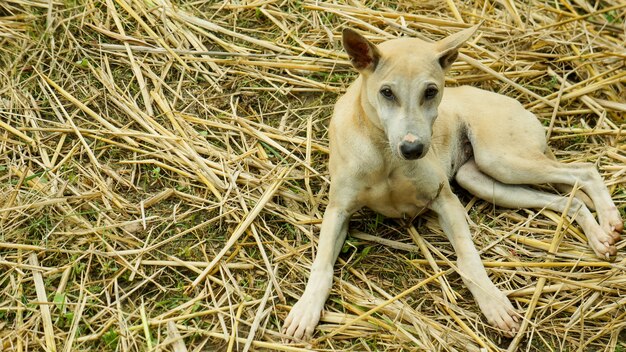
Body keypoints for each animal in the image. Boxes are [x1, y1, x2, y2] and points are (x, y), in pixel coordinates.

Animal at [282, 24, 620, 338]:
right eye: (387, 92)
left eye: (430, 91)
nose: (413, 149)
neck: (386, 155)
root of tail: (515, 103)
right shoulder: (338, 210)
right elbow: (322, 264)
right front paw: (305, 310)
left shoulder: (445, 201)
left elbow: (469, 260)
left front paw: (494, 304)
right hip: (480, 179)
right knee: (569, 200)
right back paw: (599, 236)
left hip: (503, 160)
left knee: (584, 171)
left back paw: (609, 220)